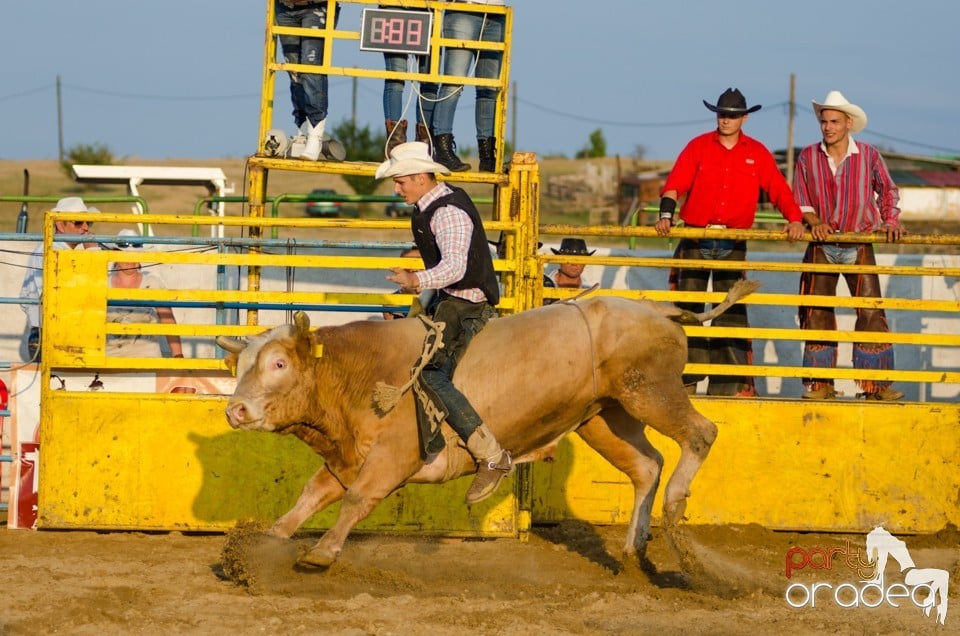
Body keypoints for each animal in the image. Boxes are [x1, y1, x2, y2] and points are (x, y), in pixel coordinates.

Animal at [218, 280, 756, 568]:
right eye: (239, 365)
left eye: (279, 364)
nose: (235, 410)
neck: (361, 372)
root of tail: (654, 307)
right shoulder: (346, 458)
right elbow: (310, 497)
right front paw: (266, 542)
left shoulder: (392, 459)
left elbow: (355, 501)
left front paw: (323, 552)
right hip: (606, 417)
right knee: (646, 466)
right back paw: (631, 545)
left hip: (650, 392)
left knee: (700, 435)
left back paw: (676, 506)